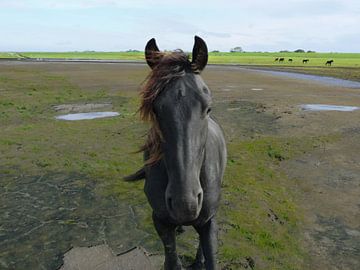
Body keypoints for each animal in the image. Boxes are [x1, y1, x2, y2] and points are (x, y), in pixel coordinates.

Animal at [124, 35, 225, 270]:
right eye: (154, 109)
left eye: (208, 108)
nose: (184, 204)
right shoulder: (160, 220)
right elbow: (171, 257)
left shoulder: (208, 221)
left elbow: (209, 254)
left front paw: (200, 261)